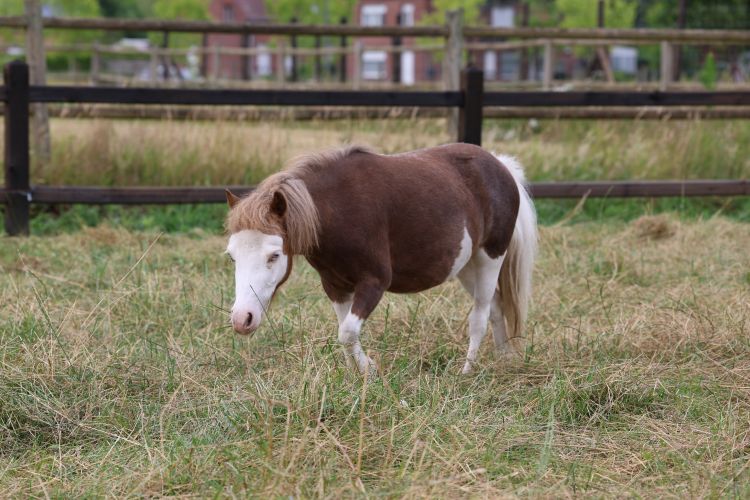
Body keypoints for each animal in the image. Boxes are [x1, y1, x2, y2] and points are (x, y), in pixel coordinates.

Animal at [224, 143, 537, 375]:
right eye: (232, 257)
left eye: (274, 255)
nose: (242, 319)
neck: (337, 210)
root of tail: (501, 166)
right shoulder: (336, 286)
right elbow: (344, 334)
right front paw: (355, 374)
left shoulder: (374, 282)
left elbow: (347, 333)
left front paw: (369, 371)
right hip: (467, 267)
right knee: (496, 306)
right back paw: (504, 358)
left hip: (489, 259)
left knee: (480, 316)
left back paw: (466, 372)